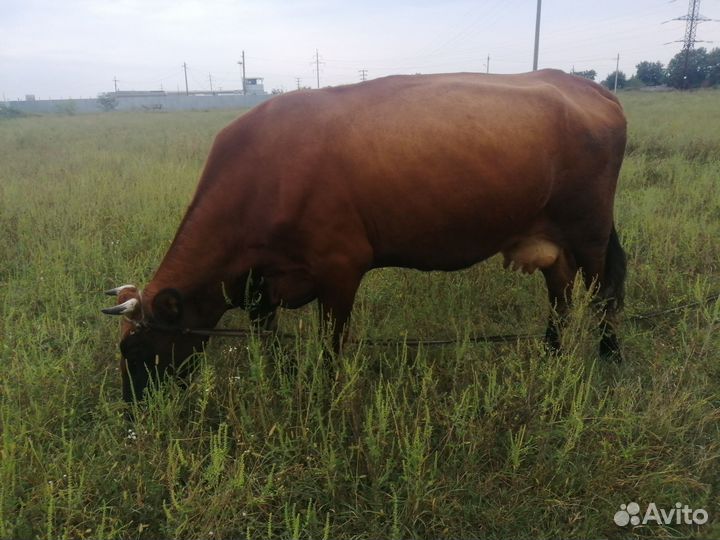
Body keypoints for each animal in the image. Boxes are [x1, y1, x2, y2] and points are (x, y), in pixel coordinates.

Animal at [103, 69, 627, 402]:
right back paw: (552, 355)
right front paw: (276, 377)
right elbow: (265, 337)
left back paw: (608, 356)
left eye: (134, 348)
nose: (132, 410)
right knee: (560, 292)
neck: (264, 173)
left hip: (591, 231)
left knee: (603, 292)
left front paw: (327, 395)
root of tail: (587, 86)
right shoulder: (261, 281)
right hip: (552, 236)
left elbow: (331, 346)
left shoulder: (340, 269)